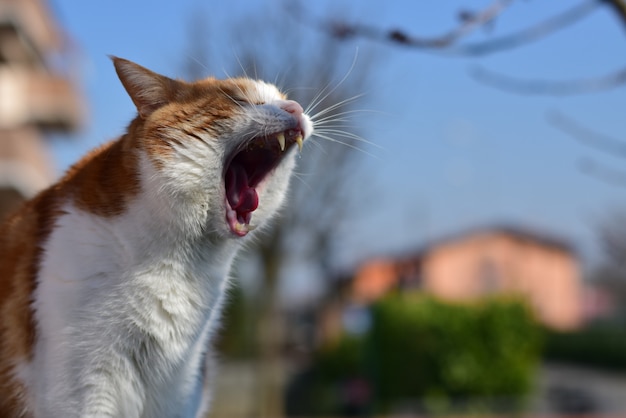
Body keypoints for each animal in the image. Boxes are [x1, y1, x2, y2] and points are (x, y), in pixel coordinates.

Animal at [0, 56, 312, 418]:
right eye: (239, 99)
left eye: (283, 98)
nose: (295, 107)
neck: (180, 264)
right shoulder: (84, 389)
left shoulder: (178, 392)